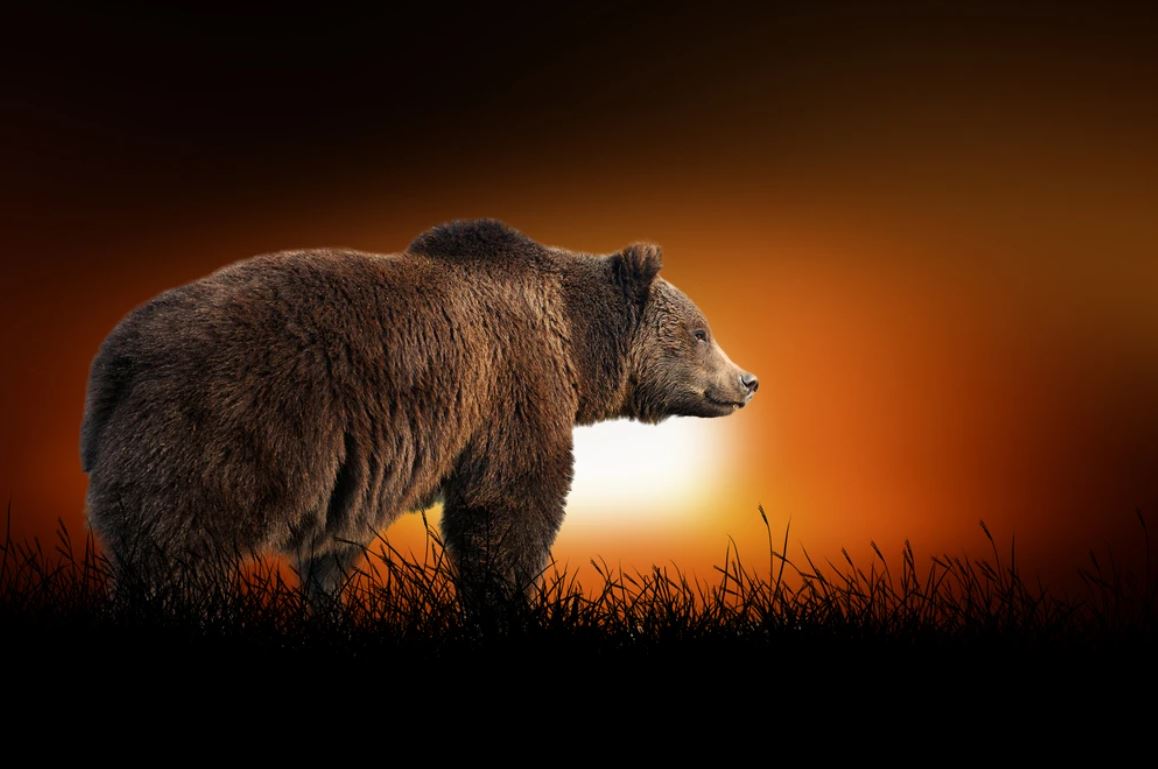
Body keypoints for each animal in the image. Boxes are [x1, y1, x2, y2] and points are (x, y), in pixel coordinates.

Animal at [80, 219, 758, 603]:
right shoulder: (514, 386)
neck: (574, 343)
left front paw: (325, 594)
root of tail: (117, 356)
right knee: (177, 547)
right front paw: (506, 594)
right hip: (224, 426)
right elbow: (509, 504)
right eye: (701, 331)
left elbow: (335, 545)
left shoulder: (354, 474)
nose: (747, 380)